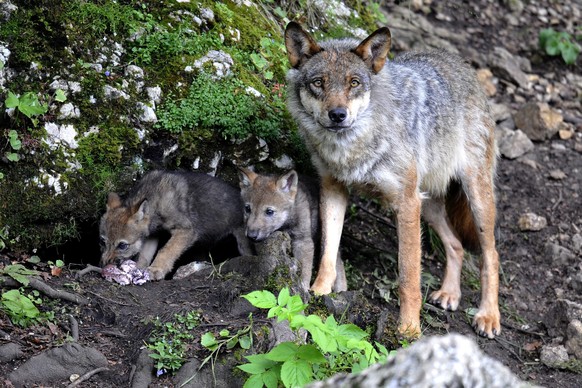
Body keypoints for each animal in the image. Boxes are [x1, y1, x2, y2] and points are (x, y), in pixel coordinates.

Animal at [98, 170, 253, 278]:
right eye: (102, 242)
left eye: (122, 245)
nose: (104, 264)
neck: (155, 199)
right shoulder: (152, 235)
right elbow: (144, 255)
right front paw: (139, 269)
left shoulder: (186, 230)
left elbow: (166, 250)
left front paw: (156, 269)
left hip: (243, 243)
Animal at [286, 21, 500, 338]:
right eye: (318, 82)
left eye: (354, 83)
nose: (337, 115)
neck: (351, 149)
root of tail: (461, 64)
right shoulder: (333, 189)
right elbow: (328, 252)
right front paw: (318, 293)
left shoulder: (406, 204)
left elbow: (408, 278)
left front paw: (409, 329)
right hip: (429, 206)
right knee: (456, 245)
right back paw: (450, 294)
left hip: (475, 200)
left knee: (491, 255)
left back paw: (488, 316)